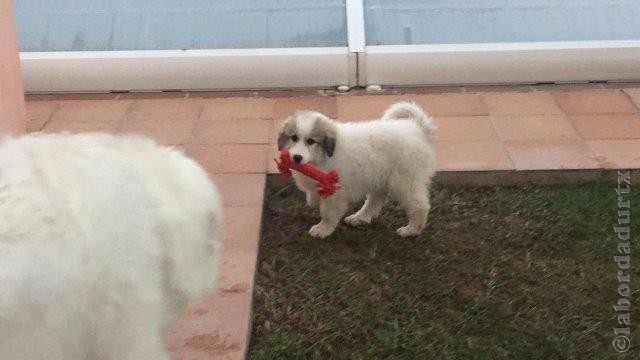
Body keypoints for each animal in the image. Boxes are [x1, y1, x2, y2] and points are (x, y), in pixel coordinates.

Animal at [278, 100, 438, 239]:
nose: (296, 158)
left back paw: (411, 230)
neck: (321, 158)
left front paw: (322, 229)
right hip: (379, 176)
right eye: (294, 138)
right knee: (375, 200)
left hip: (405, 180)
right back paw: (360, 218)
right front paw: (314, 201)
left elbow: (328, 213)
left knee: (419, 205)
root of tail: (417, 129)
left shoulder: (335, 192)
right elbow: (313, 197)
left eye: (311, 141)